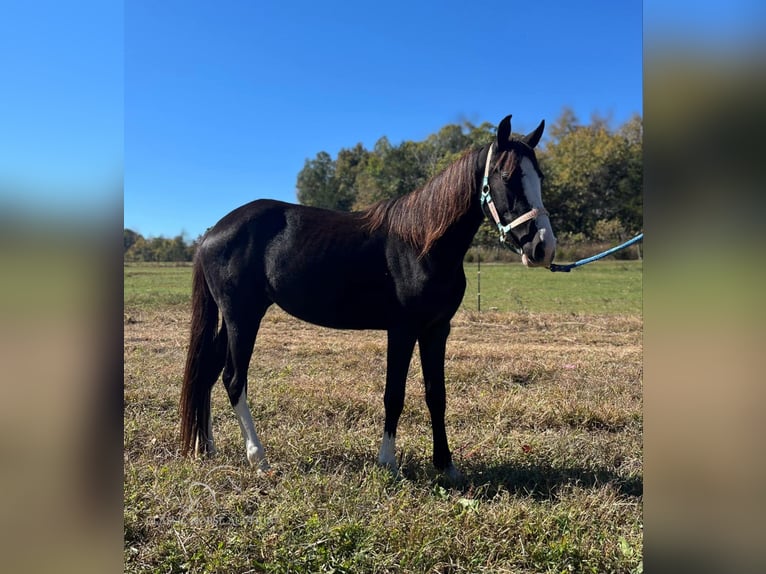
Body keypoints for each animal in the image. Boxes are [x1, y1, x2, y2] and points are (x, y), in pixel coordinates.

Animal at [180, 113, 560, 482]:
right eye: (508, 176)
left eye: (539, 176)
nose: (543, 247)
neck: (422, 243)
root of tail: (213, 233)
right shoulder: (402, 330)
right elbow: (395, 394)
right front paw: (388, 462)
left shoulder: (437, 329)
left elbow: (436, 395)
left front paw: (446, 465)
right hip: (242, 317)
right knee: (233, 379)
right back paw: (258, 459)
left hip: (233, 318)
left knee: (207, 371)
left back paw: (205, 447)